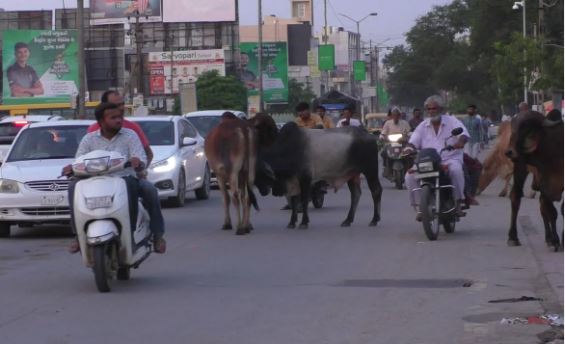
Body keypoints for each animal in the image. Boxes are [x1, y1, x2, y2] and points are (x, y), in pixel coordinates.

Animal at [256, 122, 384, 230]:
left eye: (260, 174)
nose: (264, 191)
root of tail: (369, 134)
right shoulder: (294, 182)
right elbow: (294, 201)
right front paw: (291, 223)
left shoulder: (305, 179)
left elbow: (303, 200)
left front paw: (304, 223)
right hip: (352, 174)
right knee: (356, 194)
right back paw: (347, 220)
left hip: (370, 170)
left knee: (376, 190)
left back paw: (374, 220)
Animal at [504, 111, 560, 251]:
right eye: (513, 129)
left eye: (526, 129)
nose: (509, 152)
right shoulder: (545, 186)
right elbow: (552, 213)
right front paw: (556, 241)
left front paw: (555, 239)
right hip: (520, 169)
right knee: (515, 197)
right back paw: (513, 237)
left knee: (541, 207)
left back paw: (548, 238)